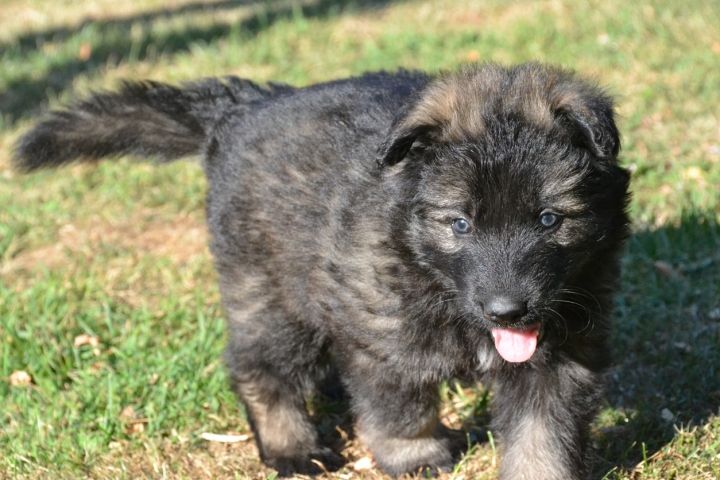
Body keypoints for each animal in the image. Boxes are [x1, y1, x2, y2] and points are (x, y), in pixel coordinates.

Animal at [15, 63, 630, 479]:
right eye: (460, 223)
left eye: (549, 219)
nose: (508, 310)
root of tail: (238, 110)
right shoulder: (384, 340)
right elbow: (399, 408)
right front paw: (415, 456)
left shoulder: (560, 355)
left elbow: (543, 435)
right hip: (270, 292)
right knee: (260, 367)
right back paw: (293, 448)